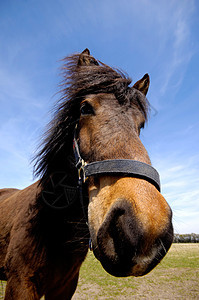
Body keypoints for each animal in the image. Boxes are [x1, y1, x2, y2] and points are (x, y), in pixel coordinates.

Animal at [0, 49, 173, 298]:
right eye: (85, 109)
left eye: (140, 125)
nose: (144, 230)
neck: (52, 227)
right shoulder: (20, 284)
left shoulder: (65, 286)